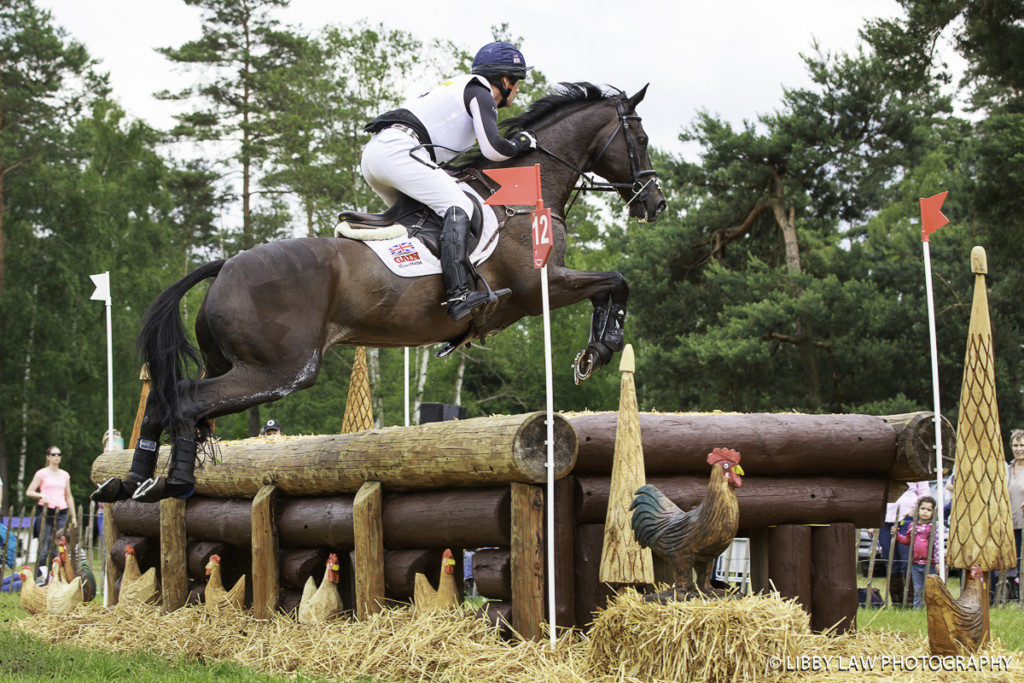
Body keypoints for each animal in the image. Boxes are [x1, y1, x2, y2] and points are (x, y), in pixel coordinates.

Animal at [90, 82, 663, 505]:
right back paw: (174, 483)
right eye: (639, 137)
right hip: (280, 371)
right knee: (187, 400)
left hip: (230, 363)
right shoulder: (536, 286)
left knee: (168, 401)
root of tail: (226, 264)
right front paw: (599, 350)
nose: (654, 202)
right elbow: (616, 281)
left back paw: (132, 483)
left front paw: (596, 350)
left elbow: (612, 285)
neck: (525, 190)